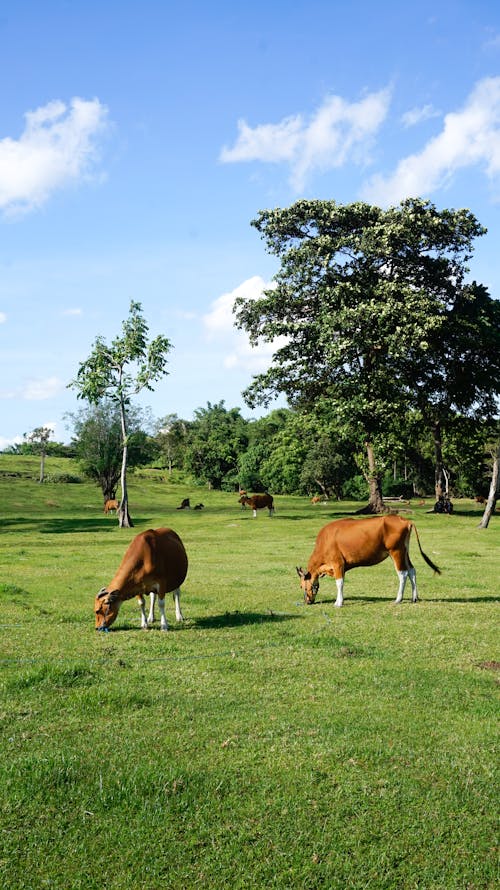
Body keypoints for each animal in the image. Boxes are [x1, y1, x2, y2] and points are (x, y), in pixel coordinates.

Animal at [296, 510, 442, 608]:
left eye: (301, 586)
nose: (307, 601)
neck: (325, 541)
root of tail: (404, 520)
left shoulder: (338, 564)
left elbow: (339, 583)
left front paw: (338, 602)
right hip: (405, 551)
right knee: (412, 570)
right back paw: (414, 597)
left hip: (396, 551)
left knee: (403, 573)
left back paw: (398, 599)